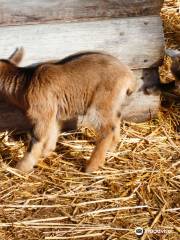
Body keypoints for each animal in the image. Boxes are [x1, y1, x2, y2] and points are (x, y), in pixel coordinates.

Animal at [0, 48, 136, 172]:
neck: (26, 83)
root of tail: (129, 76)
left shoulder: (43, 114)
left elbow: (37, 139)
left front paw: (21, 168)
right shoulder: (52, 113)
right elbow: (53, 131)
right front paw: (46, 152)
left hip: (100, 102)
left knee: (107, 129)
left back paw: (91, 167)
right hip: (112, 102)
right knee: (116, 118)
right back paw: (112, 148)